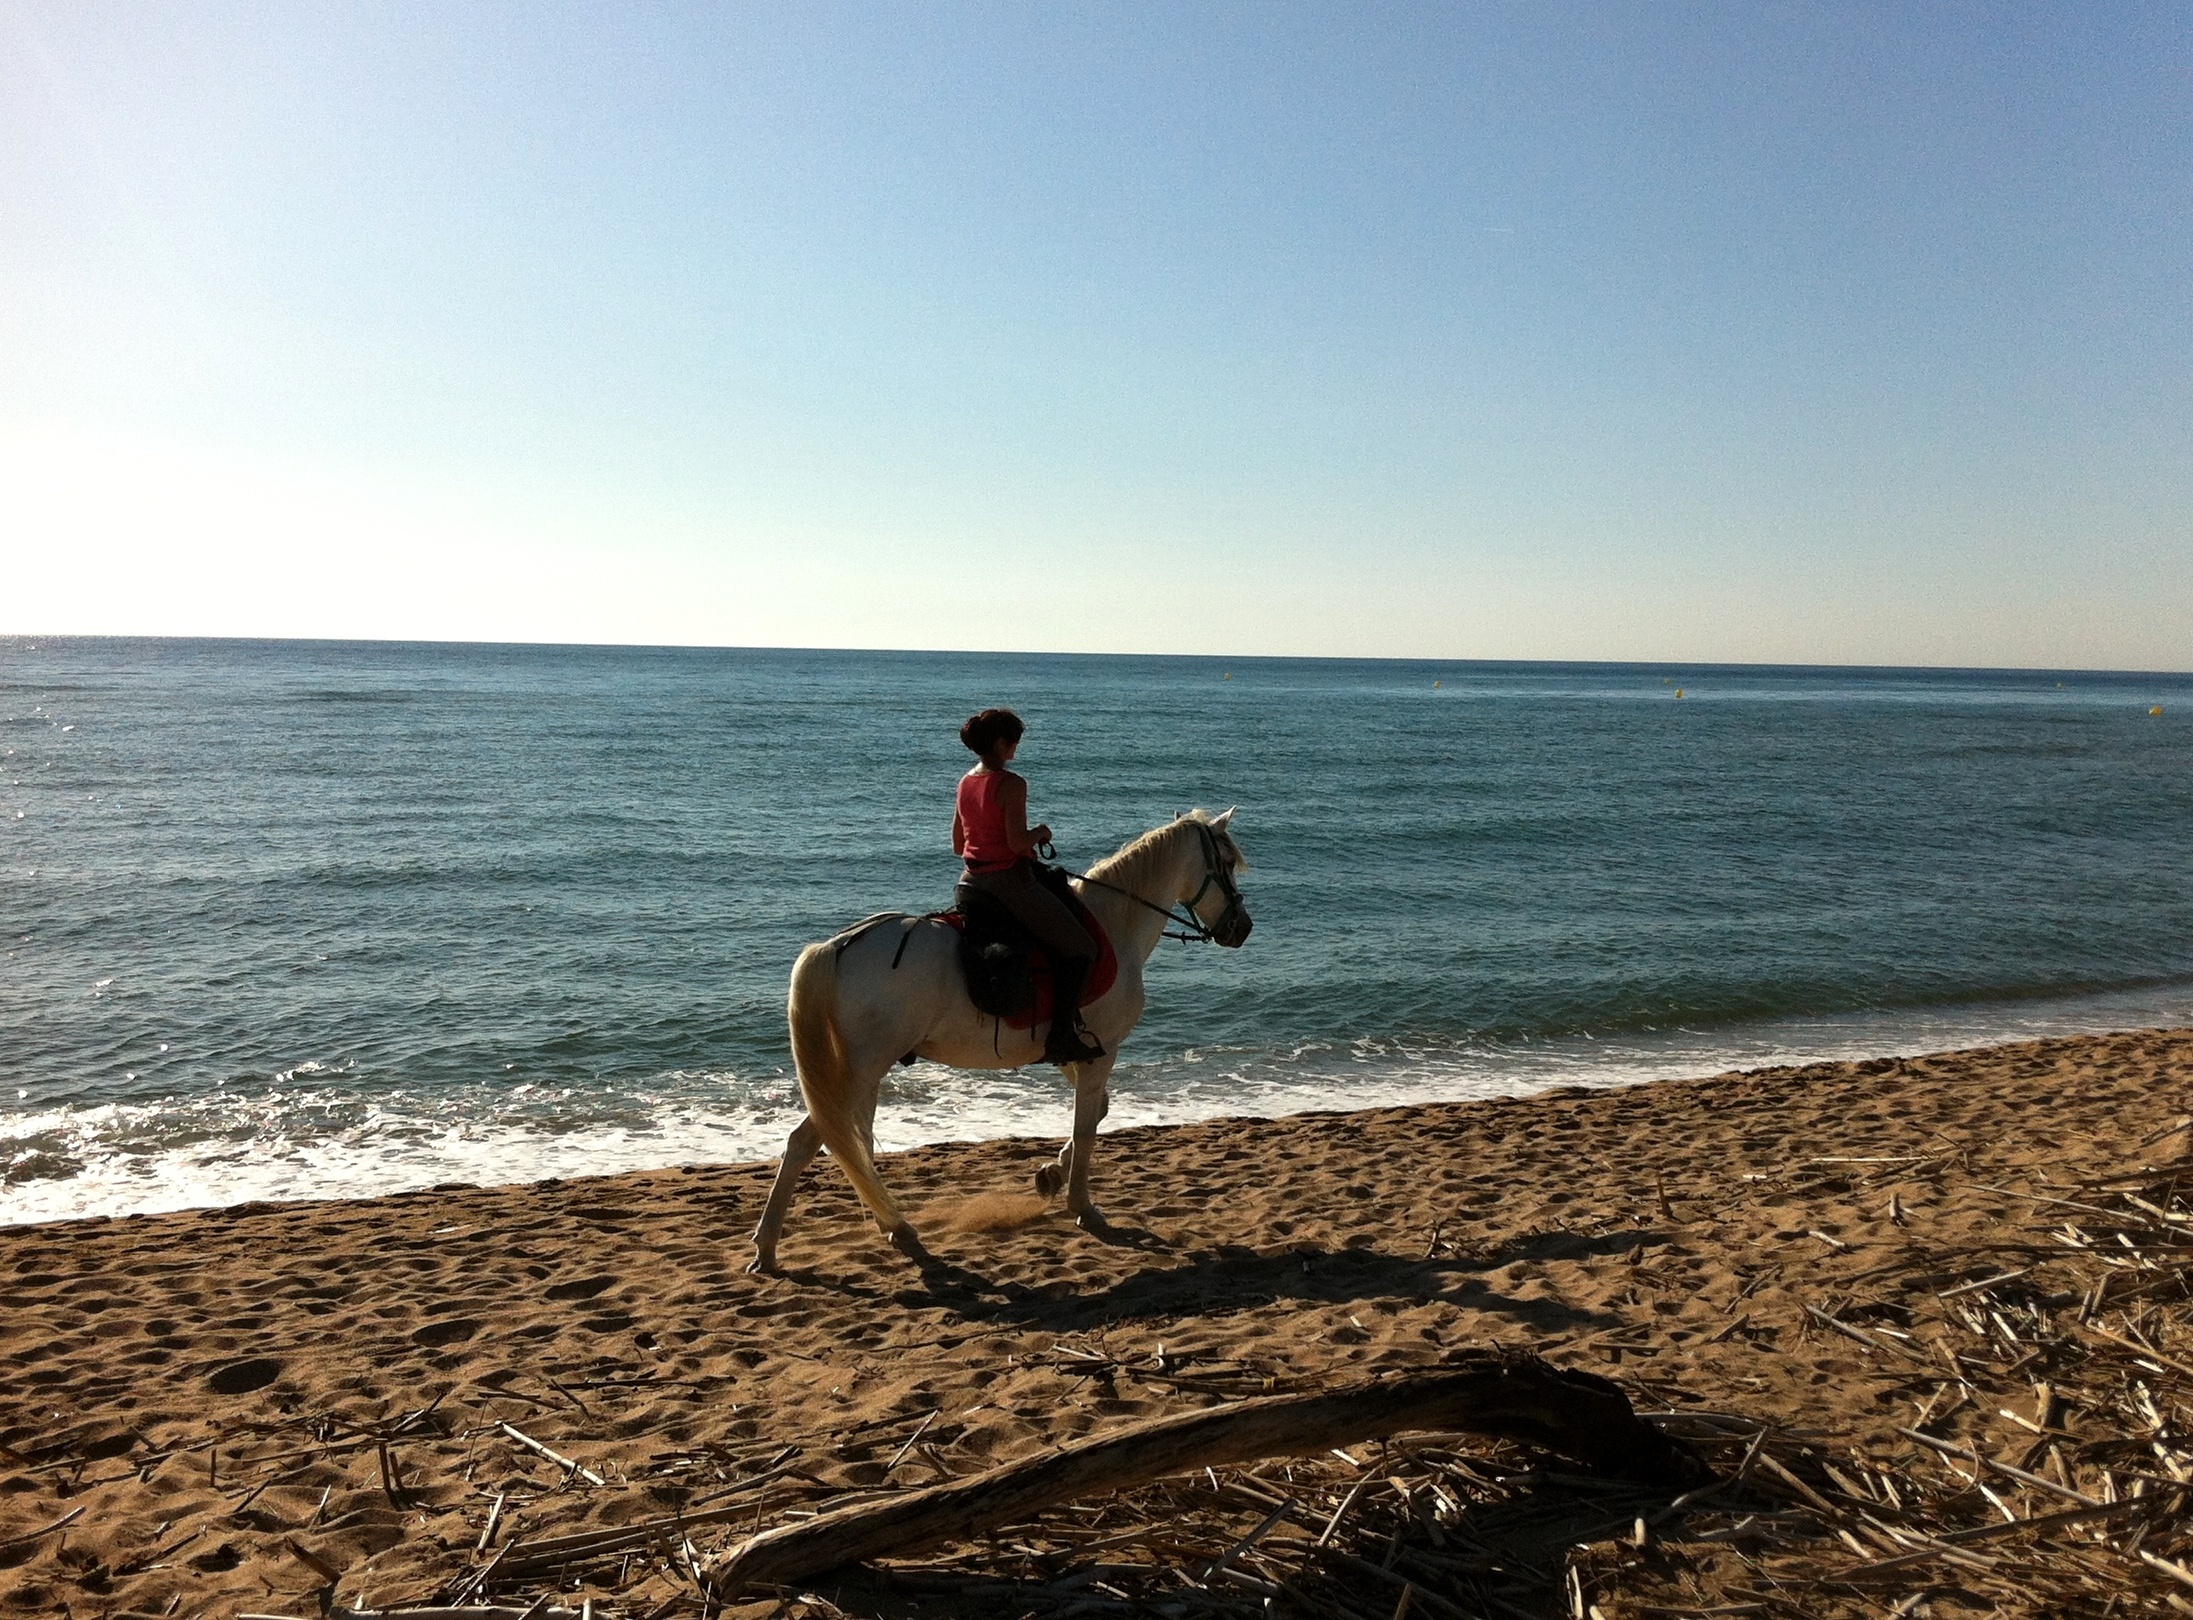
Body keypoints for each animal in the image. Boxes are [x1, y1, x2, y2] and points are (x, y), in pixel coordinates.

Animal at [748, 808, 1252, 1273]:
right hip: (861, 1071)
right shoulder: (1100, 1052)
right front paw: (1082, 1206)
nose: (1241, 927)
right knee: (811, 1143)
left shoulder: (1073, 1054)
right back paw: (783, 1245)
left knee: (848, 1143)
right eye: (1226, 862)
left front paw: (1050, 1175)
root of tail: (837, 947)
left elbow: (1097, 1112)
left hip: (862, 1075)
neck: (1114, 925)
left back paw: (877, 1226)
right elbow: (1086, 1127)